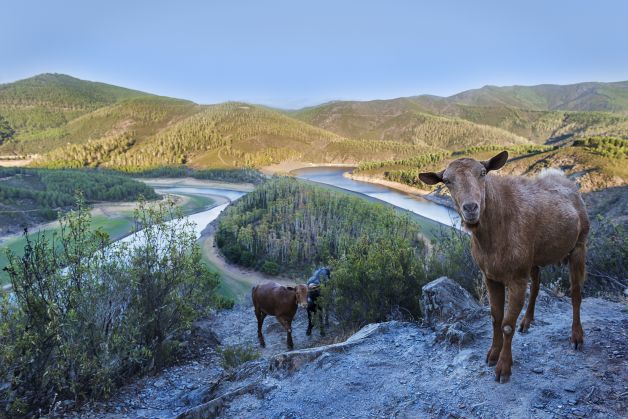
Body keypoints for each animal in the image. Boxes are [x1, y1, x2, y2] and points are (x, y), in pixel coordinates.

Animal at [422, 153, 588, 384]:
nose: (471, 208)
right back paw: (527, 322)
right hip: (534, 258)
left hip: (579, 246)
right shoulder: (491, 276)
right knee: (537, 285)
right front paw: (492, 354)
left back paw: (577, 337)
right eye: (446, 180)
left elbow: (507, 325)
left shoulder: (516, 278)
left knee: (576, 293)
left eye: (483, 173)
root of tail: (567, 182)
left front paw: (503, 367)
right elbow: (495, 317)